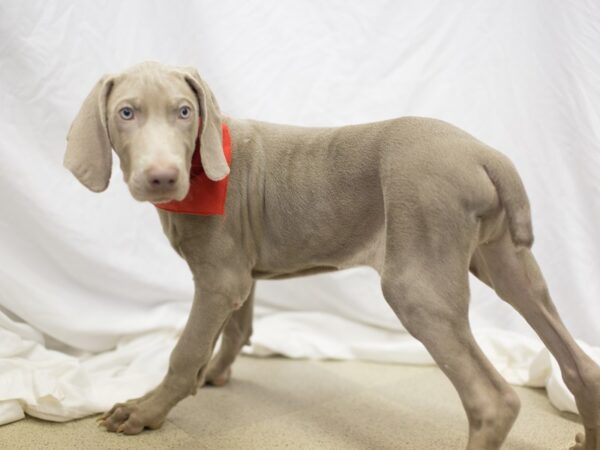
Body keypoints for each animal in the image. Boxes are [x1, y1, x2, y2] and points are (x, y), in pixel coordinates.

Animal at [63, 62, 596, 450]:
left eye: (184, 112)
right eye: (126, 113)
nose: (162, 177)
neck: (203, 169)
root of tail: (487, 154)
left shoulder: (218, 280)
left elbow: (185, 349)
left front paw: (145, 411)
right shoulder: (240, 275)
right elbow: (234, 331)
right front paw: (211, 376)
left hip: (416, 283)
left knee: (493, 400)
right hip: (508, 263)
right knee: (579, 365)